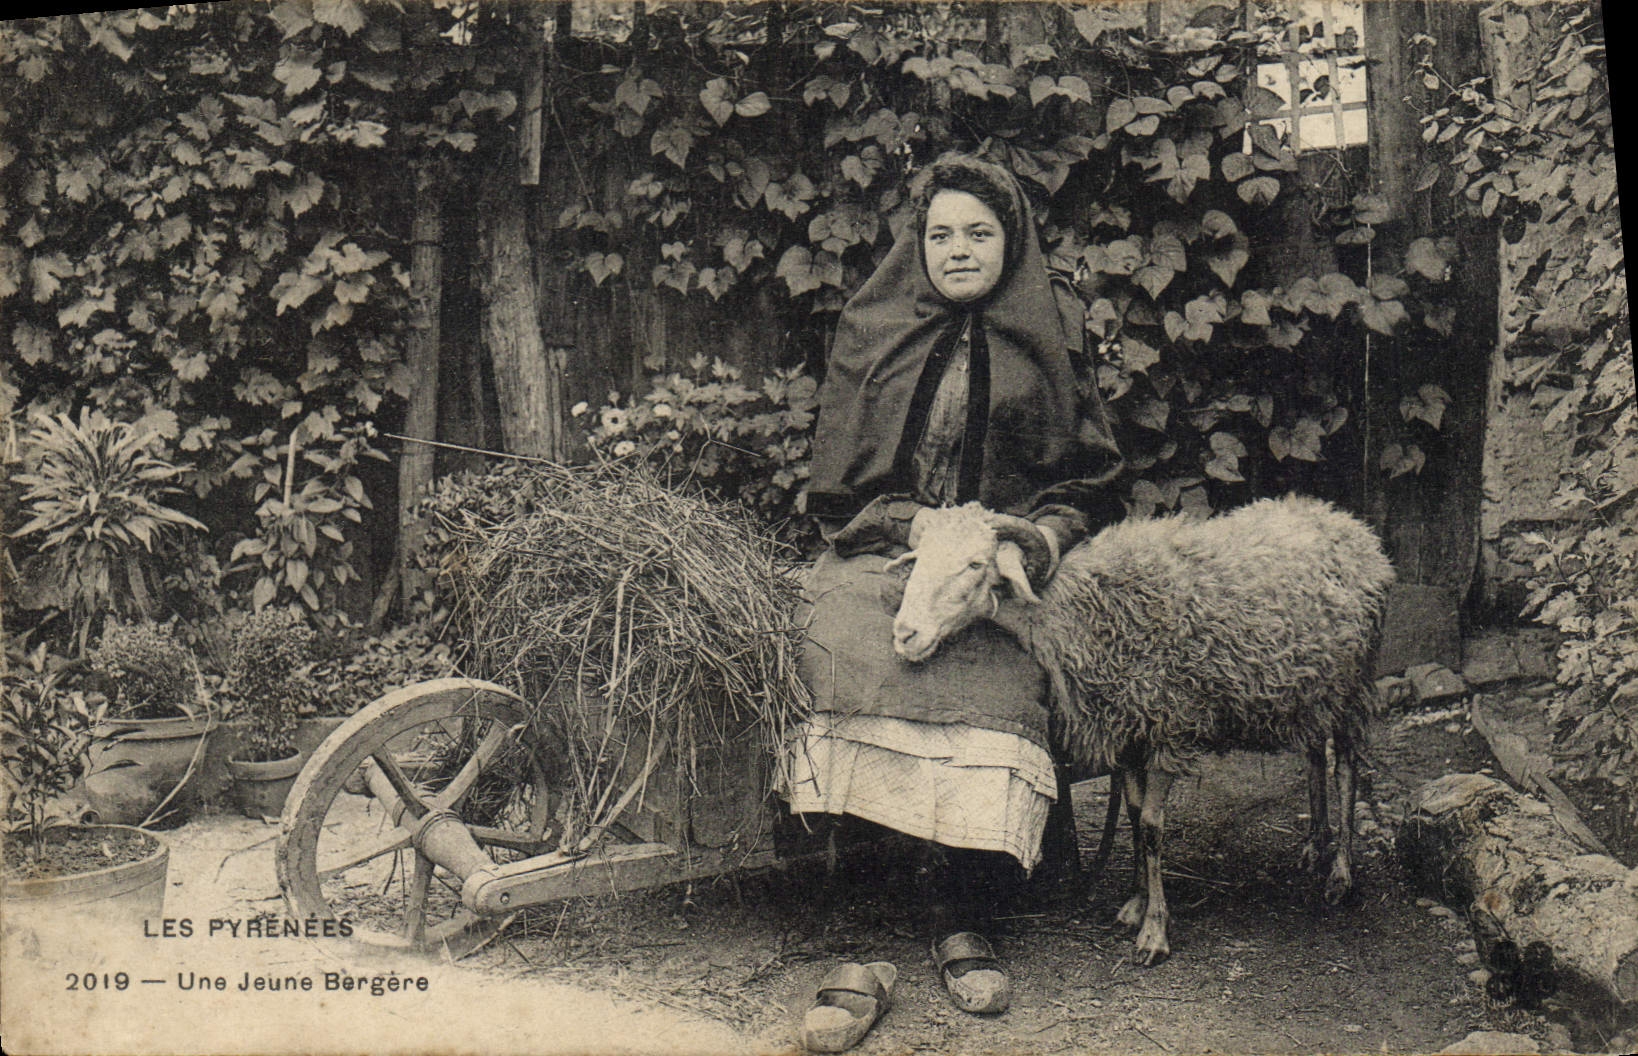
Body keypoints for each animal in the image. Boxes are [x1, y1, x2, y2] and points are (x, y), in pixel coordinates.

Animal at [886, 496, 1395, 965]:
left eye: (975, 564)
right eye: (920, 558)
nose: (905, 635)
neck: (1081, 615)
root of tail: (1348, 524)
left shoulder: (1170, 727)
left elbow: (1151, 826)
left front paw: (1154, 931)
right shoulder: (1128, 731)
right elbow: (1131, 814)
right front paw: (1134, 903)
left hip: (1353, 683)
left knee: (1346, 768)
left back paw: (1340, 873)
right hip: (1309, 690)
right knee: (1314, 756)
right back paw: (1314, 846)